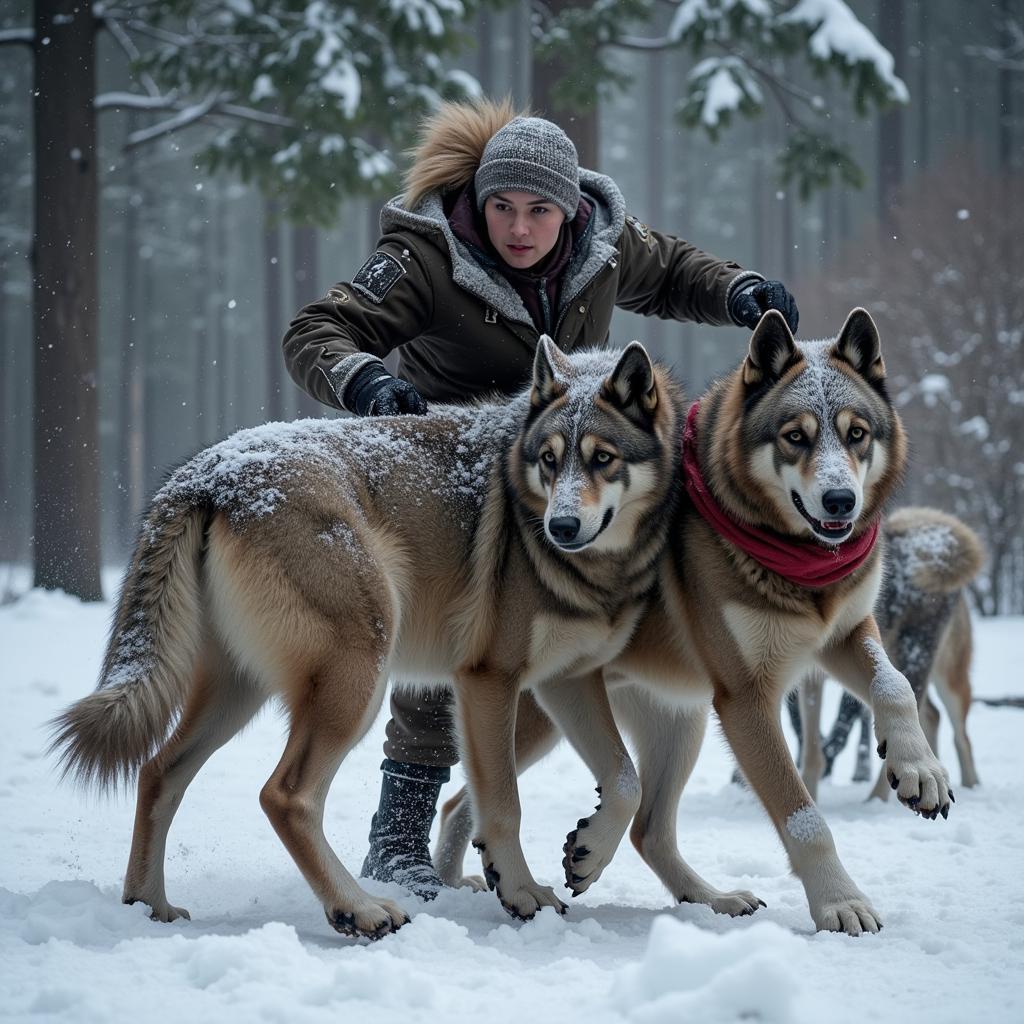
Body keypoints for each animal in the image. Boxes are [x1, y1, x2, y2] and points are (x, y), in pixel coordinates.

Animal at [51, 335, 684, 937]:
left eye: (602, 459)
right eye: (549, 460)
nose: (561, 526)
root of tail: (206, 470)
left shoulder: (567, 680)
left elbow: (624, 781)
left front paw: (587, 854)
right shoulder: (488, 679)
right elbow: (503, 804)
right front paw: (523, 893)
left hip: (241, 692)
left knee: (159, 772)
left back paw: (148, 905)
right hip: (358, 677)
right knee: (284, 795)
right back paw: (359, 910)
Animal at [798, 507, 983, 802]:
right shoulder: (810, 681)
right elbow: (812, 751)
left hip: (927, 668)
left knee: (959, 735)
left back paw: (880, 799)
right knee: (932, 717)